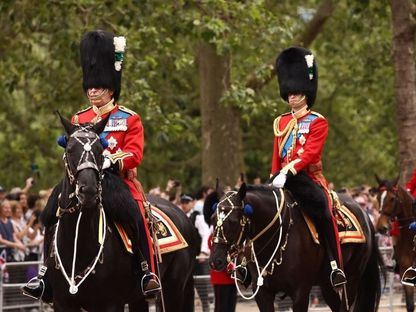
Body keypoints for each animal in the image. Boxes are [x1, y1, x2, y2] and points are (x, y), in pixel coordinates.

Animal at [40, 115, 198, 312]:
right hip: (139, 297)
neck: (79, 244)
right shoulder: (62, 303)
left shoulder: (110, 303)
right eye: (69, 150)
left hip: (173, 290)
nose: (89, 191)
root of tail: (182, 214)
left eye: (100, 151)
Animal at [210, 184, 382, 310]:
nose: (215, 261)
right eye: (212, 218)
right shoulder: (262, 293)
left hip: (351, 280)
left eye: (232, 221)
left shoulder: (300, 293)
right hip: (326, 285)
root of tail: (364, 213)